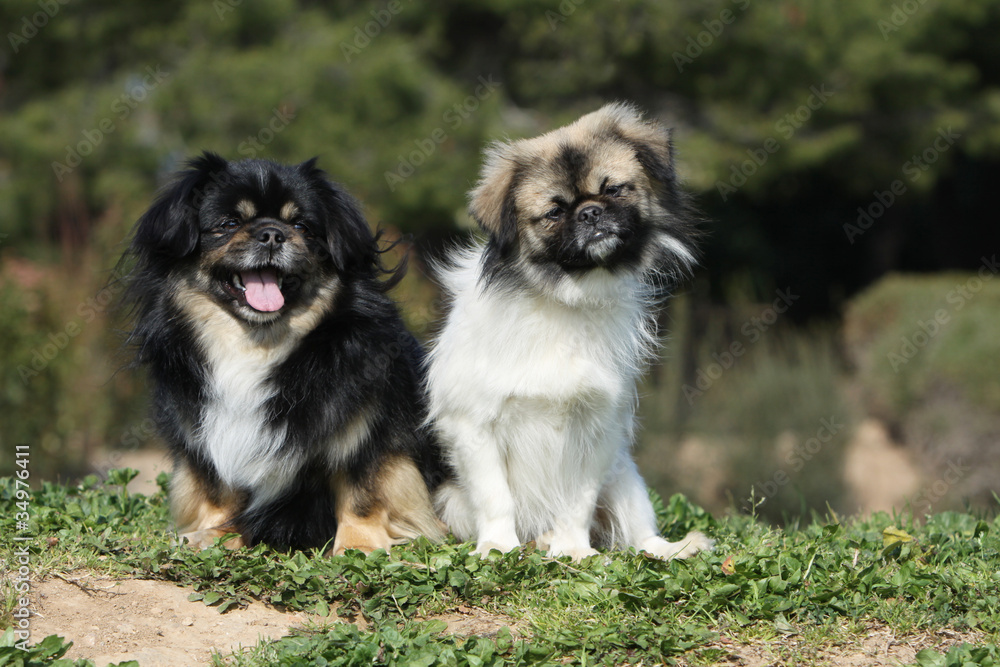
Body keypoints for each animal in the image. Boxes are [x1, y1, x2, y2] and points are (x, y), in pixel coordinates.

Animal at [426, 103, 716, 564]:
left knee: (641, 537)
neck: (566, 298)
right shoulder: (473, 423)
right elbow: (495, 497)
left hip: (626, 476)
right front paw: (498, 546)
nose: (590, 212)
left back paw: (671, 548)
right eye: (555, 212)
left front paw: (573, 549)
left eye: (614, 190)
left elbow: (577, 499)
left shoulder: (598, 428)